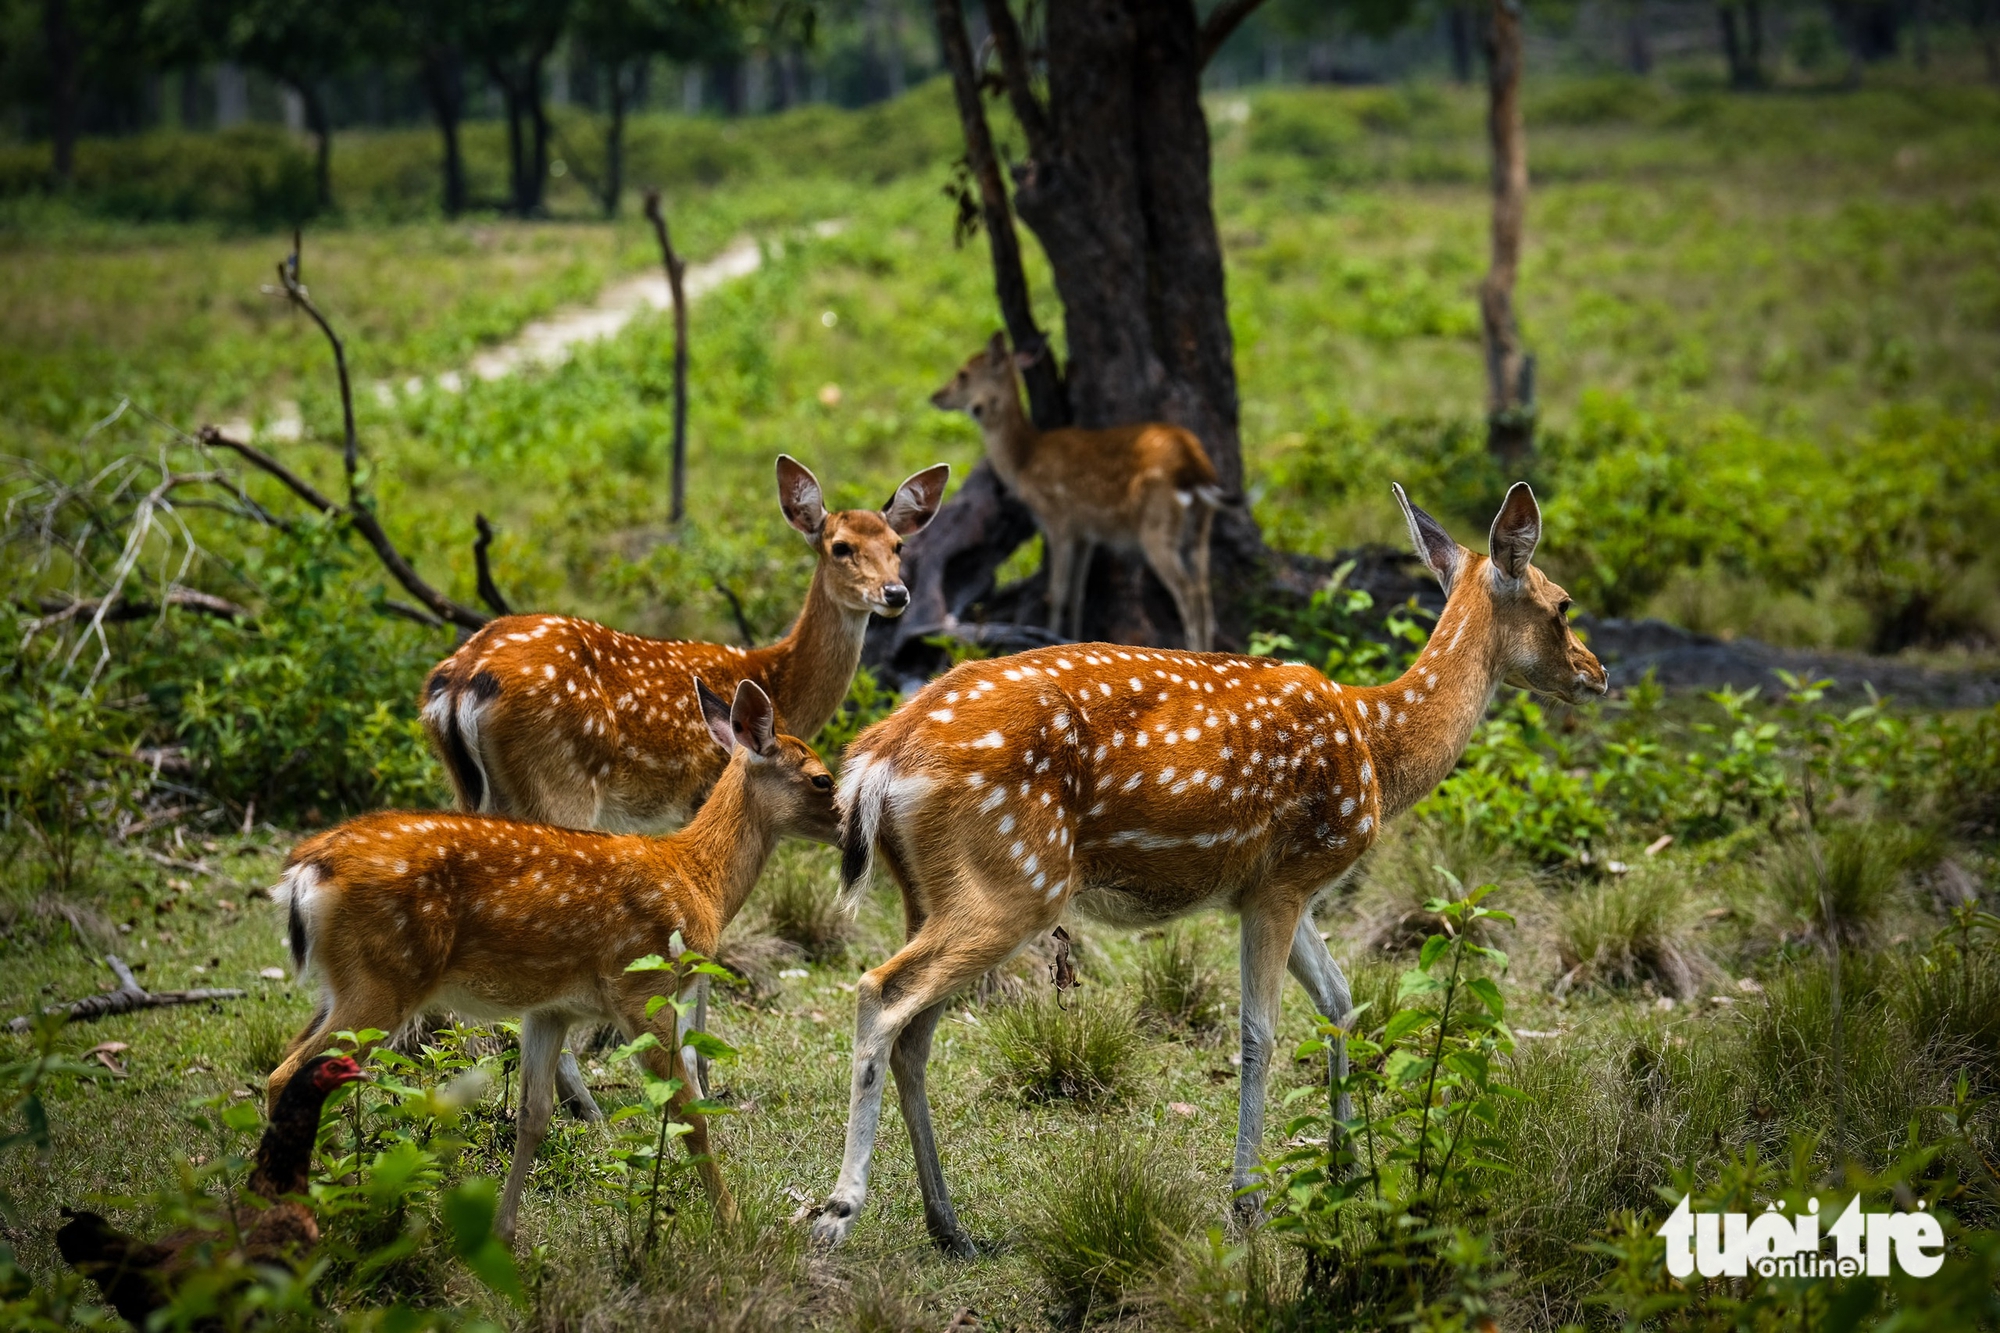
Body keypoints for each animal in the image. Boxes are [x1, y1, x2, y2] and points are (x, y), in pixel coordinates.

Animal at [268, 678, 840, 1244]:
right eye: (822, 779)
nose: (850, 828)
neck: (699, 882)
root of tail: (305, 872)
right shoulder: (641, 988)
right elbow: (687, 1111)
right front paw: (733, 1224)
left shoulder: (552, 1008)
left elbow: (534, 1116)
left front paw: (503, 1233)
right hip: (385, 975)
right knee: (286, 1073)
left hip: (346, 980)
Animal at [809, 482, 1606, 1255]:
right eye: (1563, 602)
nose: (1595, 674)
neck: (1377, 753)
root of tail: (878, 759)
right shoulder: (1287, 878)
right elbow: (1260, 1034)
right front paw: (1249, 1202)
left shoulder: (1270, 885)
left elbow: (1342, 999)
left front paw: (1348, 1166)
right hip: (1015, 879)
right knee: (881, 992)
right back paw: (839, 1211)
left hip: (932, 889)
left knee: (915, 1035)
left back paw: (949, 1225)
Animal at [930, 333, 1223, 652]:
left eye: (963, 374)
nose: (936, 396)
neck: (1024, 460)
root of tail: (1195, 466)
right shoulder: (1086, 534)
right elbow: (1077, 594)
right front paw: (1074, 638)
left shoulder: (1058, 521)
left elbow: (1056, 592)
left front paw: (1050, 636)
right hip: (1200, 525)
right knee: (1204, 589)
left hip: (1157, 526)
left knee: (1189, 591)